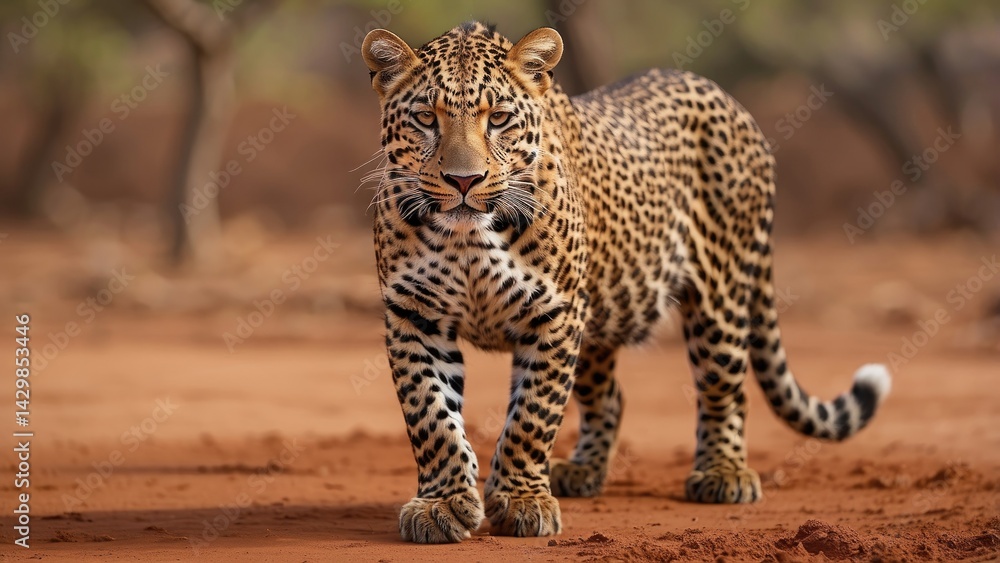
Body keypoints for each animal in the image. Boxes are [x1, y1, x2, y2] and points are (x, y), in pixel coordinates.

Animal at [359, 21, 892, 543]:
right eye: (426, 118)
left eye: (499, 119)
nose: (464, 180)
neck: (468, 238)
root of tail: (727, 97)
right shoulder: (414, 316)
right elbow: (431, 416)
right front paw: (442, 504)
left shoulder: (554, 313)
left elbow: (533, 414)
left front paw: (523, 501)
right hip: (600, 316)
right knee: (610, 397)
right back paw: (582, 470)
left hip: (719, 295)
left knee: (725, 386)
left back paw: (723, 474)